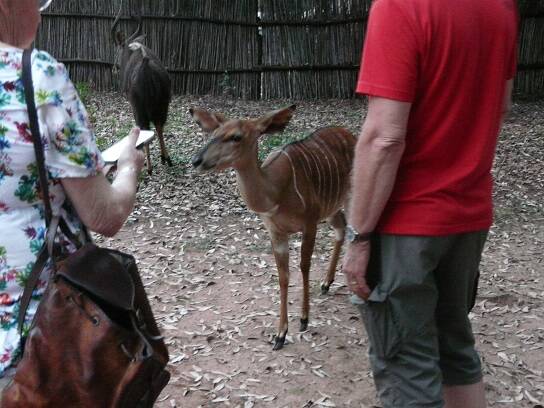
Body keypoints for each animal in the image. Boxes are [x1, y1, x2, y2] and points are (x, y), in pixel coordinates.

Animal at [111, 2, 172, 173]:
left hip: (139, 109)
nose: (114, 68)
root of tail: (146, 67)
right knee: (159, 125)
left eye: (117, 48)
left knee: (145, 128)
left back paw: (149, 167)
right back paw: (166, 158)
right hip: (163, 105)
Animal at [190, 105, 356, 350]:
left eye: (236, 137)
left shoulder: (309, 223)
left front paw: (304, 319)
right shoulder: (276, 232)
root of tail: (350, 134)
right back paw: (326, 284)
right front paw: (280, 335)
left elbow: (304, 266)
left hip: (349, 197)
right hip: (331, 208)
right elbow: (283, 276)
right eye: (214, 133)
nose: (197, 160)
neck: (276, 193)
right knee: (341, 228)